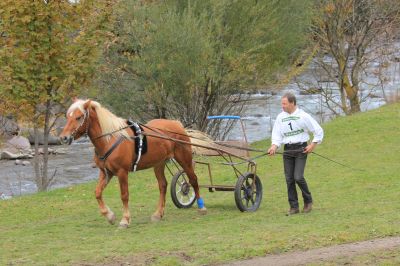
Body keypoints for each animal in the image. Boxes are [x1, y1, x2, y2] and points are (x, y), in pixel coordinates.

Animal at [59, 98, 206, 228]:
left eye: (79, 117)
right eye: (67, 116)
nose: (63, 138)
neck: (110, 139)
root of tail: (177, 124)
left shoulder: (122, 172)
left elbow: (124, 196)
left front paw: (125, 220)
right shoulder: (106, 173)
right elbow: (97, 192)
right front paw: (109, 216)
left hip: (184, 159)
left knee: (193, 179)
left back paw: (201, 207)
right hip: (158, 163)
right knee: (163, 185)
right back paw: (158, 214)